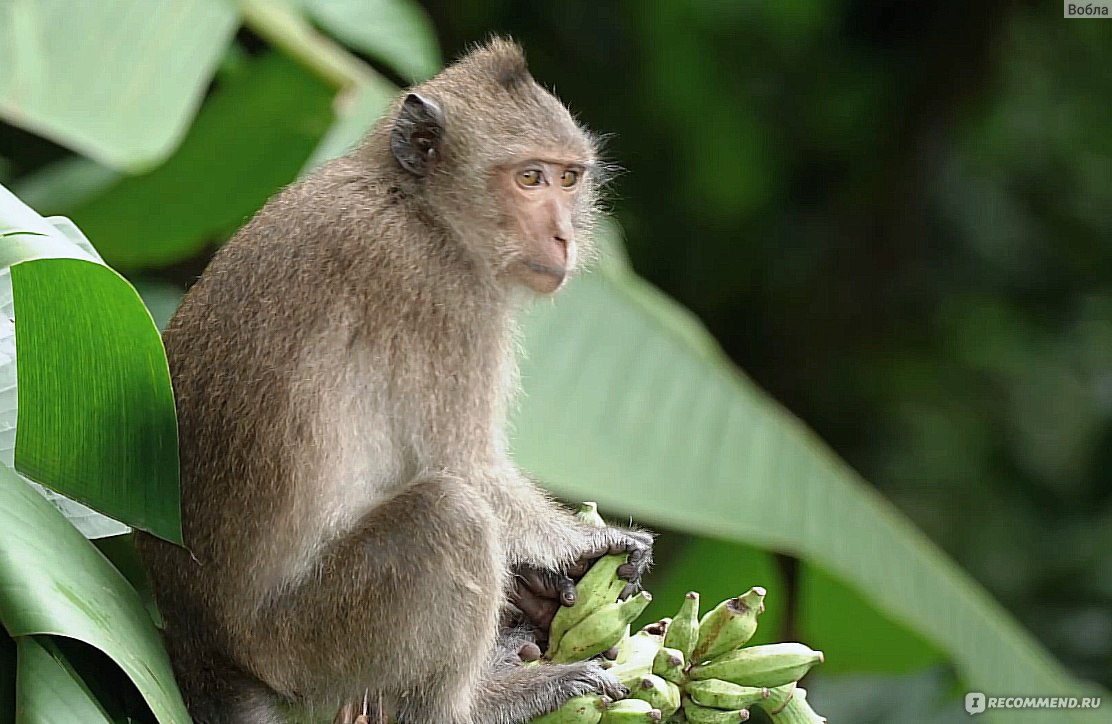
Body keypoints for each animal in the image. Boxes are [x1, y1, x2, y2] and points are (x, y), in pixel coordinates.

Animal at [135, 39, 649, 724]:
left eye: (568, 179)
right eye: (529, 178)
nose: (563, 235)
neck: (414, 203)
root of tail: (208, 654)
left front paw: (545, 585)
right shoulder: (445, 293)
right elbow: (467, 466)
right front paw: (586, 544)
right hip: (308, 645)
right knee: (451, 514)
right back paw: (477, 705)